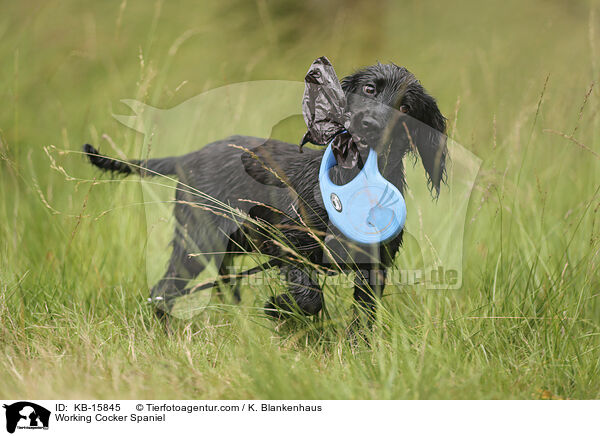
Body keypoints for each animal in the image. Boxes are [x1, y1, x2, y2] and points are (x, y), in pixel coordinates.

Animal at [85, 63, 446, 324]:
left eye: (406, 107)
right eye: (370, 89)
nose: (370, 124)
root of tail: (187, 158)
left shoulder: (374, 266)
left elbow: (362, 321)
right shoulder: (287, 242)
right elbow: (310, 297)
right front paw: (279, 308)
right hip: (197, 242)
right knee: (163, 290)